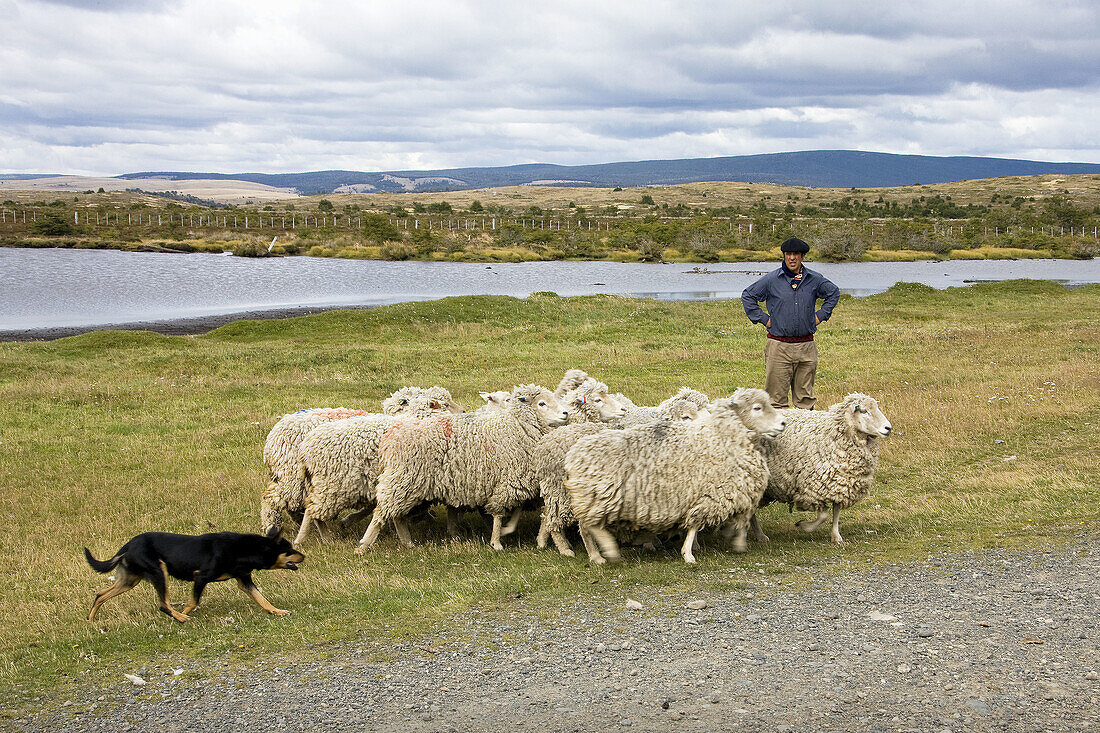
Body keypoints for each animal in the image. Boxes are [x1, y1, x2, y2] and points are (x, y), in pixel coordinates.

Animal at [84, 526, 305, 620]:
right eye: (289, 550)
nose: (304, 556)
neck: (244, 549)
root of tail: (128, 545)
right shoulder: (201, 576)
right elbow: (193, 601)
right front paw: (184, 613)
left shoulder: (244, 580)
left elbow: (262, 599)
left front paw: (277, 611)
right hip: (159, 571)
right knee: (163, 604)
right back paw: (180, 618)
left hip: (129, 580)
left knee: (100, 595)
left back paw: (92, 621)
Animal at [358, 385, 567, 550]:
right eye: (542, 403)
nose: (565, 413)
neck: (517, 426)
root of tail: (389, 439)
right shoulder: (507, 480)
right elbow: (499, 513)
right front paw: (496, 542)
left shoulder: (516, 480)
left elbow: (516, 509)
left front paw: (507, 530)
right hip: (403, 479)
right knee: (381, 512)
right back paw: (364, 545)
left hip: (405, 484)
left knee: (395, 514)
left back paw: (407, 542)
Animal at [563, 385, 787, 561]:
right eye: (757, 408)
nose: (783, 423)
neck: (721, 437)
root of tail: (574, 454)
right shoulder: (709, 494)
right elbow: (695, 524)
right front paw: (689, 553)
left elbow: (739, 517)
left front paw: (737, 540)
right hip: (597, 497)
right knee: (588, 527)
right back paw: (601, 554)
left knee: (588, 525)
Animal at [756, 394, 893, 541]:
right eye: (864, 411)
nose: (888, 428)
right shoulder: (811, 489)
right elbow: (823, 516)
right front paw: (805, 526)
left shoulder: (839, 484)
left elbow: (836, 511)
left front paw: (836, 536)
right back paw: (760, 535)